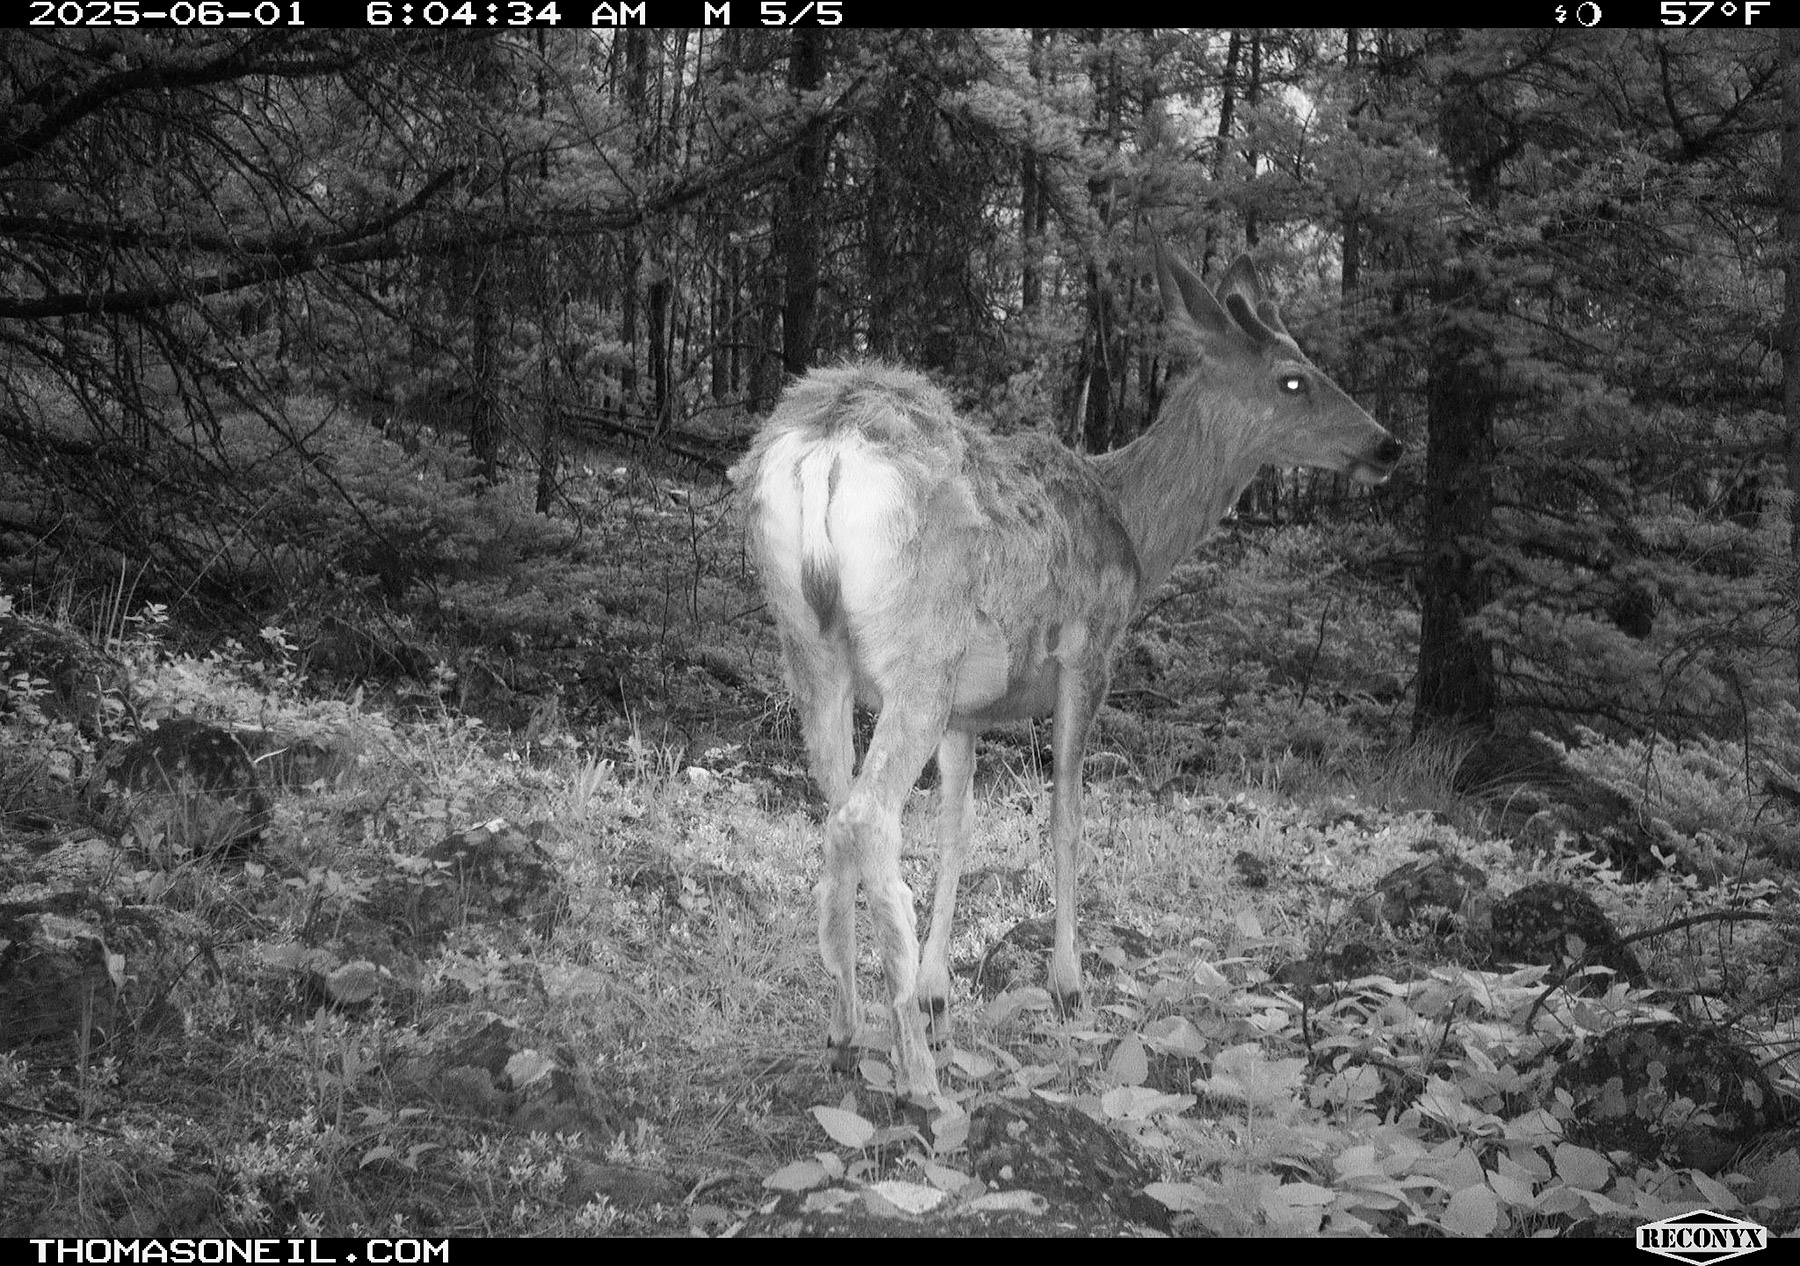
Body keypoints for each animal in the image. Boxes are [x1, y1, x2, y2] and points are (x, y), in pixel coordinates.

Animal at [731, 243, 1402, 1102]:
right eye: (1294, 378)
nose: (1387, 445)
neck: (1137, 530)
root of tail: (825, 447)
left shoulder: (968, 713)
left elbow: (958, 829)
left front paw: (941, 994)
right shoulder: (1090, 652)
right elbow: (1066, 816)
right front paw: (1067, 988)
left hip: (810, 647)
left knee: (833, 812)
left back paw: (847, 1030)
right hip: (922, 650)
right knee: (865, 817)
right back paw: (917, 1073)